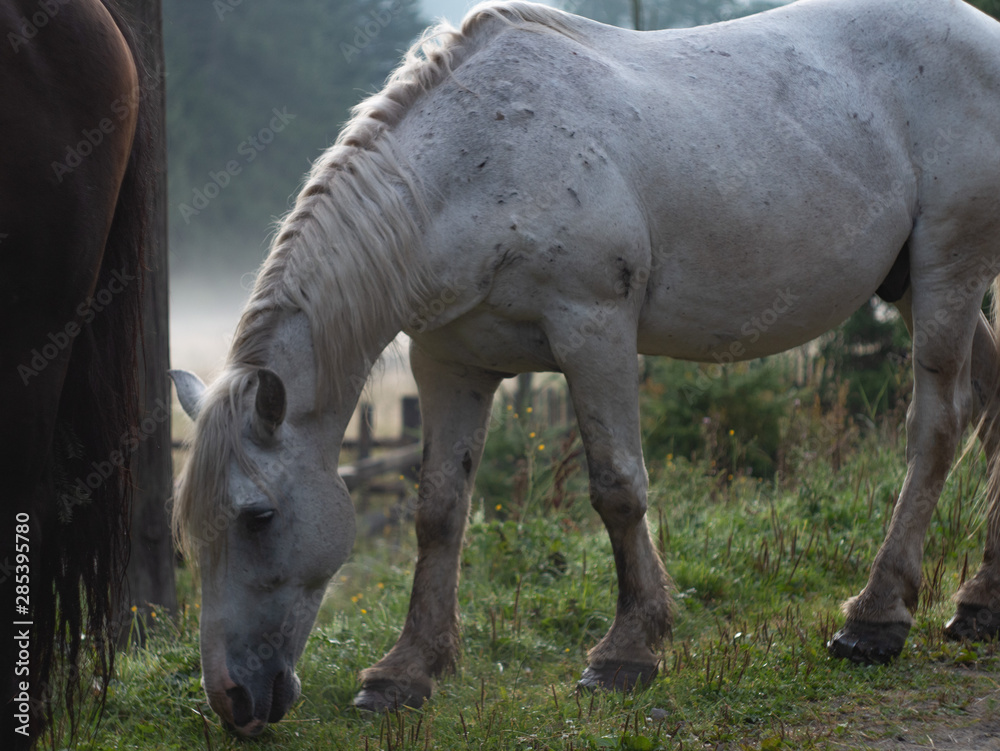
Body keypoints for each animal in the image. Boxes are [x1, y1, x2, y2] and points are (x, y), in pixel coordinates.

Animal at [170, 0, 1000, 736]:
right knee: (990, 410)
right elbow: (438, 511)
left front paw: (627, 653)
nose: (232, 698)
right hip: (919, 281)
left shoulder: (593, 330)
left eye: (257, 516)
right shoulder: (450, 362)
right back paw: (978, 602)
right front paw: (406, 670)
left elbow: (618, 488)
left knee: (939, 423)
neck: (473, 164)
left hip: (949, 266)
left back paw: (876, 619)